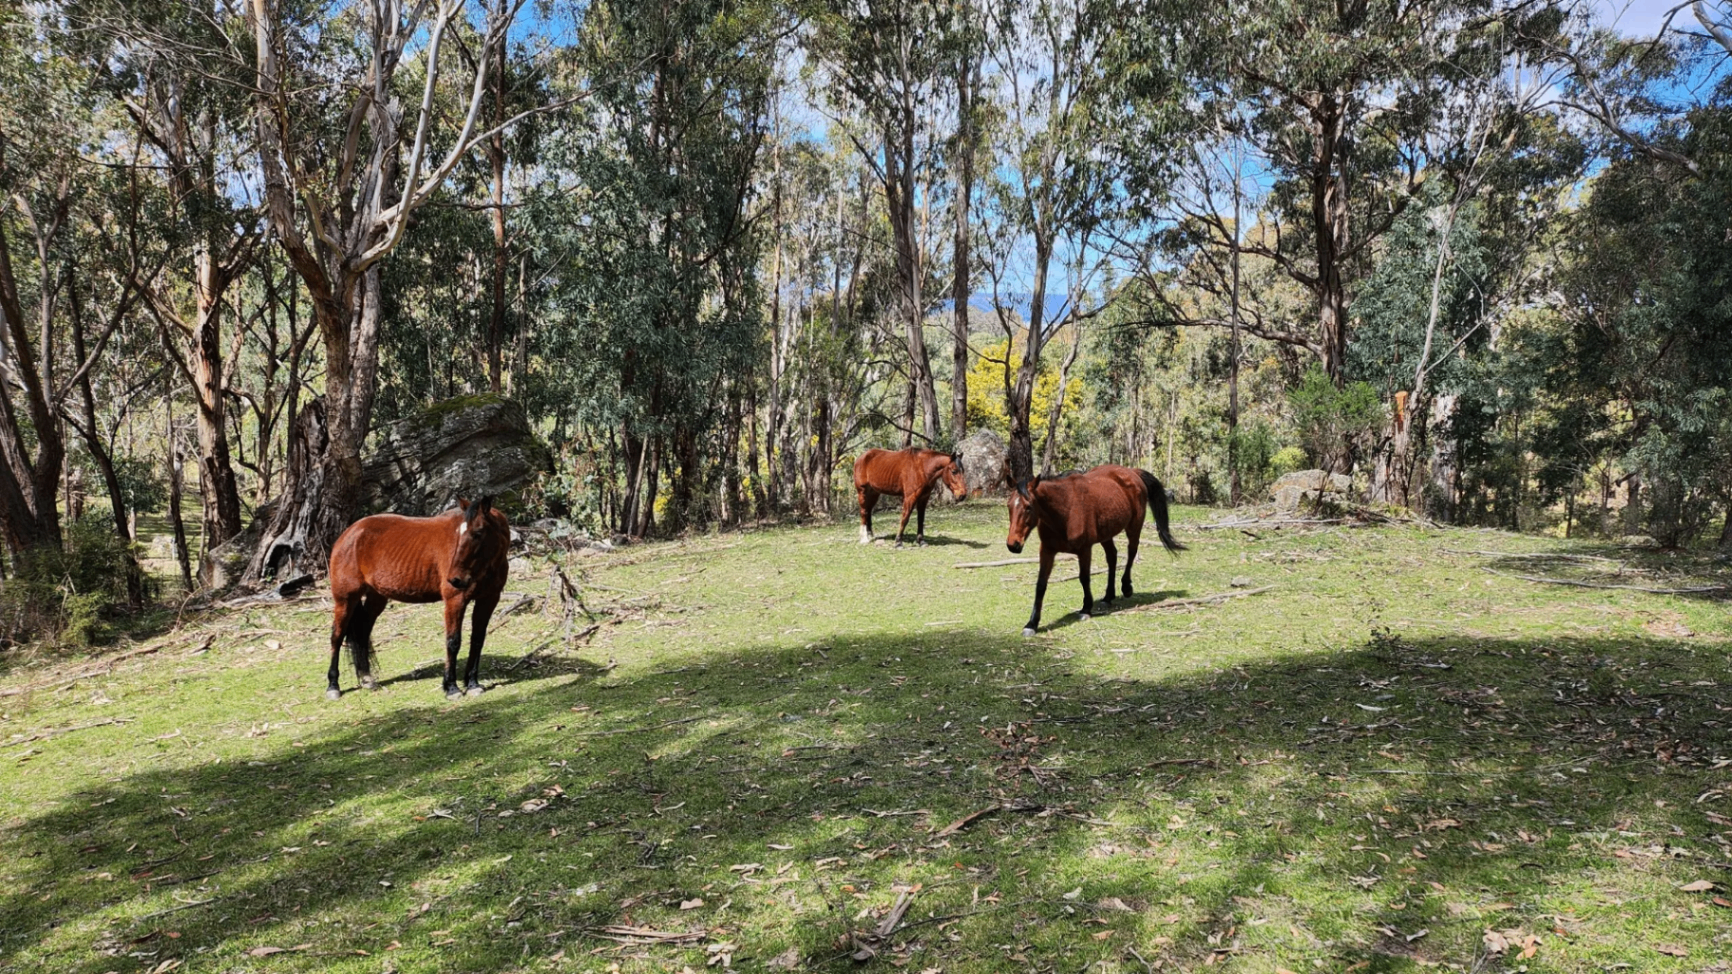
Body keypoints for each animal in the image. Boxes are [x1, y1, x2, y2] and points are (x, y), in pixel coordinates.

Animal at [326, 496, 511, 700]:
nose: (455, 579)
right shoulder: (455, 600)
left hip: (376, 597)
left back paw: (367, 678)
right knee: (337, 636)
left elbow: (477, 639)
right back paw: (333, 686)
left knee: (362, 631)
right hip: (345, 599)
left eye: (478, 533)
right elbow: (453, 642)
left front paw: (472, 684)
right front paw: (451, 687)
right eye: (458, 533)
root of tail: (349, 533)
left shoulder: (488, 599)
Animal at [1004, 465, 1184, 635]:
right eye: (1009, 505)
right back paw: (1108, 596)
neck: (1065, 511)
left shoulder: (1084, 550)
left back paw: (1126, 587)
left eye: (1028, 507)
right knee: (1112, 557)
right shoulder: (1047, 550)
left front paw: (1086, 609)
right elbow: (1041, 584)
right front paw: (1032, 623)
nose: (1013, 545)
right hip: (1106, 535)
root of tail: (1132, 472)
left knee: (1131, 552)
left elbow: (1084, 578)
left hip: (1134, 527)